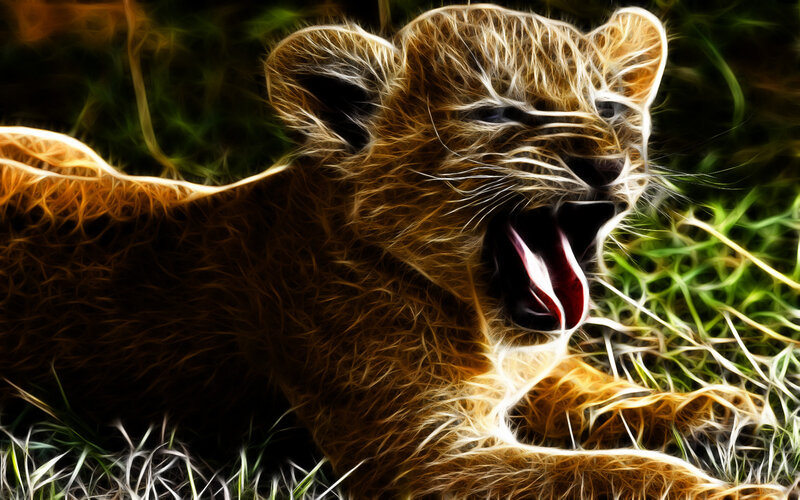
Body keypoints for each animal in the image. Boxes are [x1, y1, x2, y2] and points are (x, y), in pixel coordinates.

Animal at [0, 4, 786, 498]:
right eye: (495, 114)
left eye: (610, 108)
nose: (604, 163)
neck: (480, 322)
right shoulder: (421, 459)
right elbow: (610, 474)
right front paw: (740, 495)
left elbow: (590, 391)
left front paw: (710, 408)